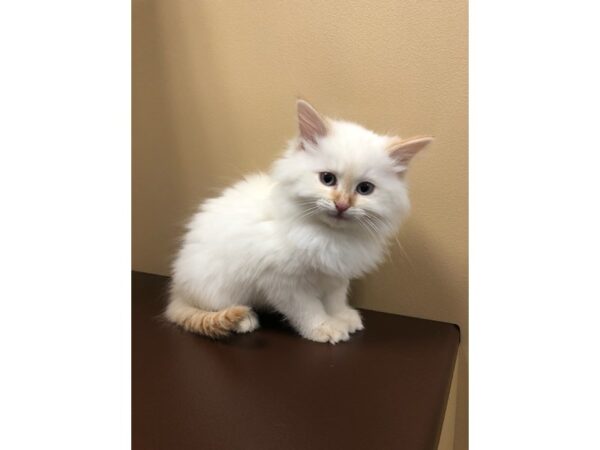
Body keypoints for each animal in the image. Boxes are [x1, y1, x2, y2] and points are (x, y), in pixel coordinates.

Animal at [166, 99, 432, 344]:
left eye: (365, 189)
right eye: (327, 179)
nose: (342, 205)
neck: (329, 236)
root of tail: (176, 292)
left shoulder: (336, 277)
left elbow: (335, 300)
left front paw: (342, 317)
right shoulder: (284, 283)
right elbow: (308, 310)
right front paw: (326, 328)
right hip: (215, 287)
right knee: (214, 307)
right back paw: (245, 320)